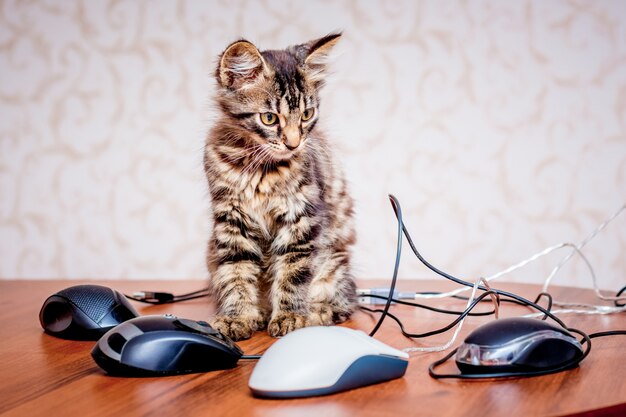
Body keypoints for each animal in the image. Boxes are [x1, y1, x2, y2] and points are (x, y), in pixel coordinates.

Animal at [202, 31, 354, 338]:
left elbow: (293, 273)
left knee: (342, 305)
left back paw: (314, 314)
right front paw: (238, 317)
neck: (259, 169)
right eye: (269, 118)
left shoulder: (300, 220)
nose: (294, 144)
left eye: (306, 115)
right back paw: (259, 314)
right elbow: (236, 272)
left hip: (334, 263)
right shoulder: (232, 220)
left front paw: (289, 316)